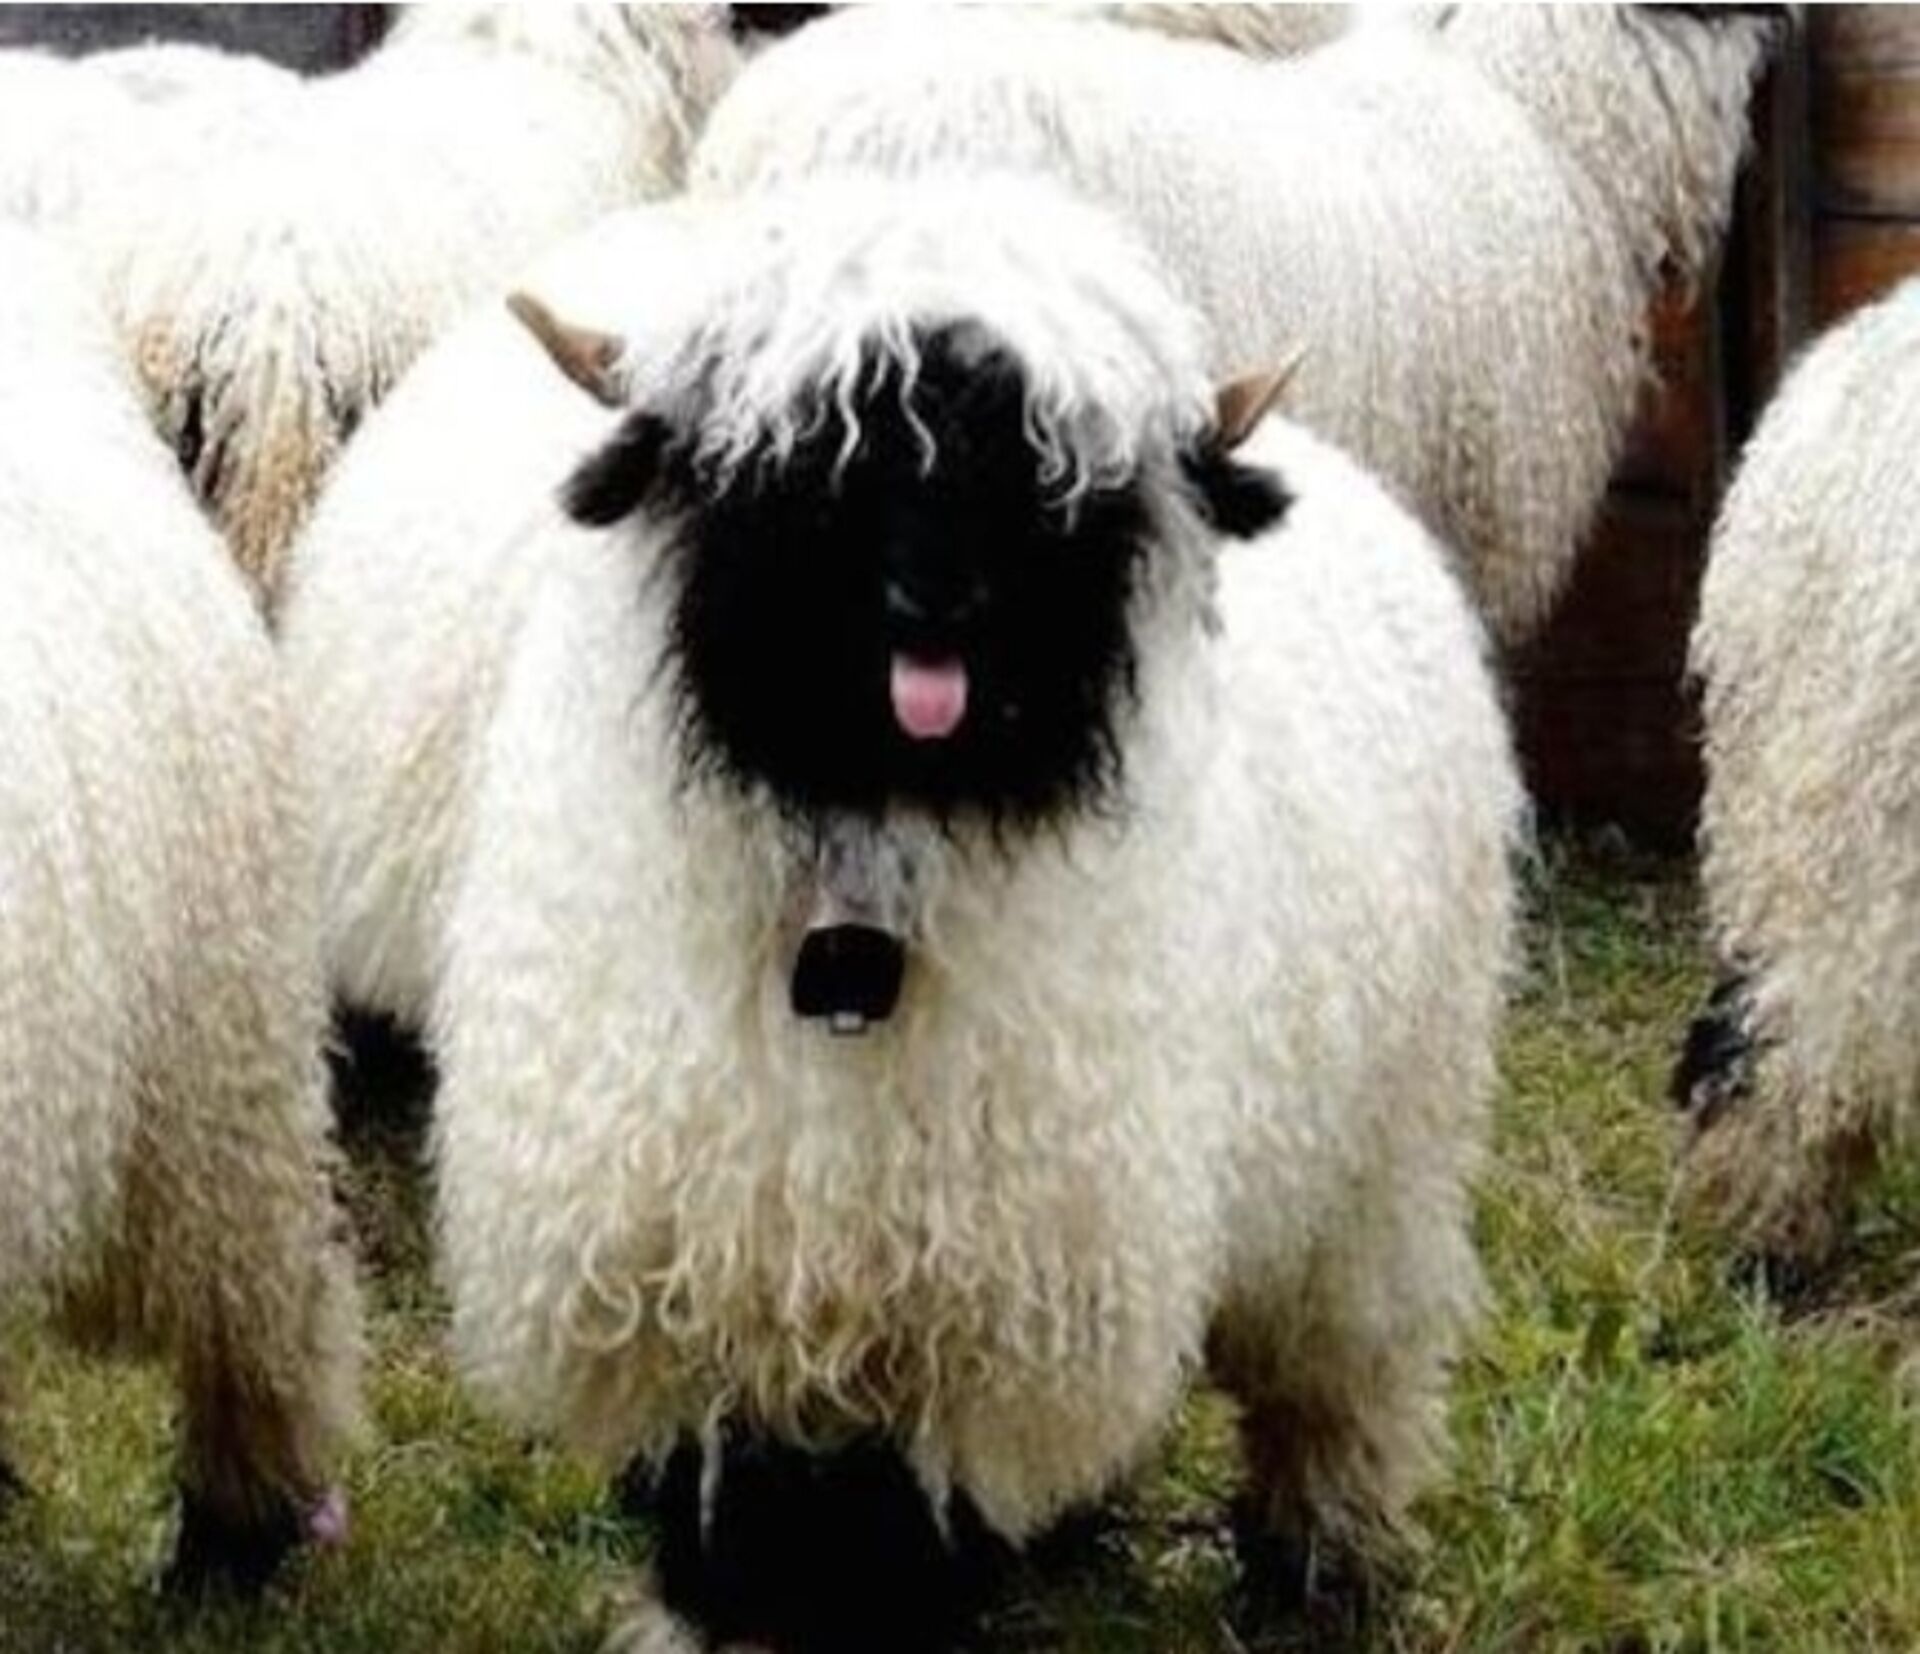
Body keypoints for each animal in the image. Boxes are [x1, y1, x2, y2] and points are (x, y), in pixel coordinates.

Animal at [431, 173, 1521, 1653]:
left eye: (1045, 473)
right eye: (807, 459)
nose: (935, 602)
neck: (861, 885)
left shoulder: (974, 1309)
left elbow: (905, 1532)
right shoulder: (698, 1272)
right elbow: (722, 1506)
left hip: (1375, 1167)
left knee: (1342, 1376)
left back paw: (1321, 1567)